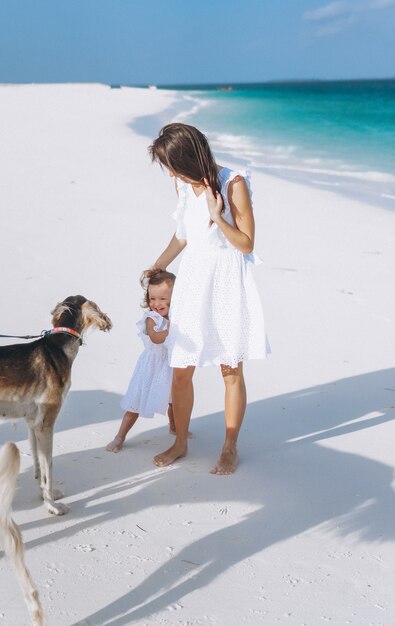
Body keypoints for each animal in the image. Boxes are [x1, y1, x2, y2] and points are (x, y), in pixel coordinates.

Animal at [0, 294, 112, 516]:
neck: (59, 348)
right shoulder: (46, 425)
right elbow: (48, 471)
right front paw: (52, 506)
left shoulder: (33, 424)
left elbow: (38, 467)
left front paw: (43, 496)